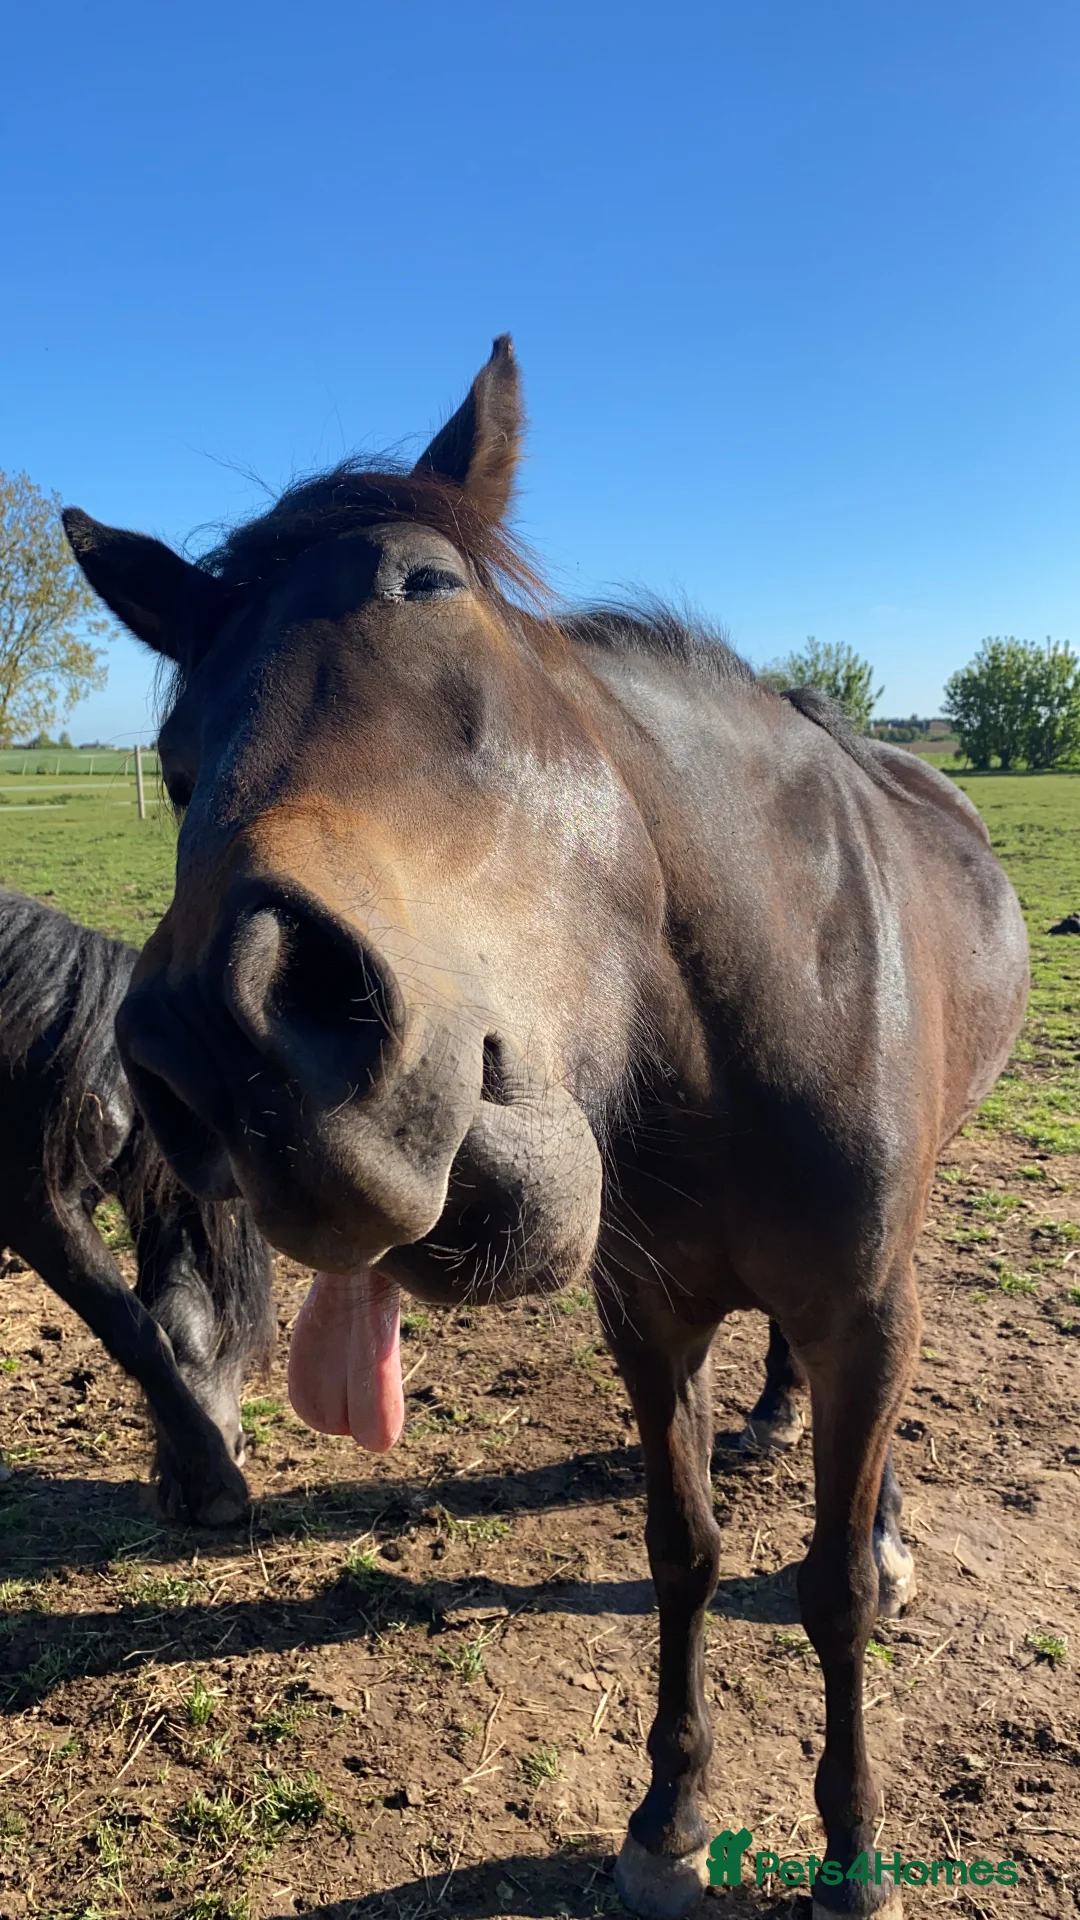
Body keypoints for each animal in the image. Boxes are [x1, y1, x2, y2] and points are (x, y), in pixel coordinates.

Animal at [64, 336, 1028, 1920]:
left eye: (429, 594)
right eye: (177, 753)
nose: (222, 1041)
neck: (732, 1024)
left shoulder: (864, 1304)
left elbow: (824, 1586)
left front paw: (850, 1855)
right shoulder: (649, 1316)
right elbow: (682, 1549)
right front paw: (670, 1818)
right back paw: (775, 1416)